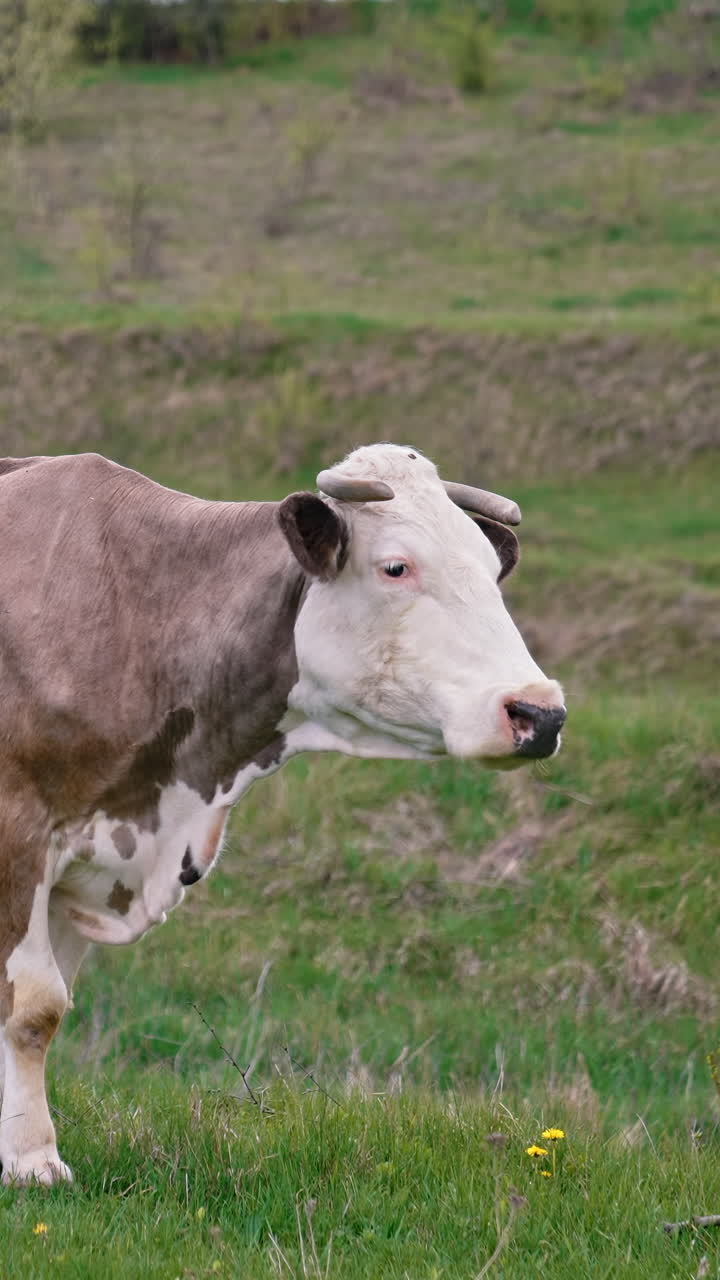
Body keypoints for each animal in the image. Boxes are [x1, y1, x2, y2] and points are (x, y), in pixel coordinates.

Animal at [0, 443, 565, 1185]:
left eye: (492, 570)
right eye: (396, 566)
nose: (539, 712)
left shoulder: (87, 864)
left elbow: (49, 1003)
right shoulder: (19, 835)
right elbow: (33, 1007)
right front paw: (33, 1162)